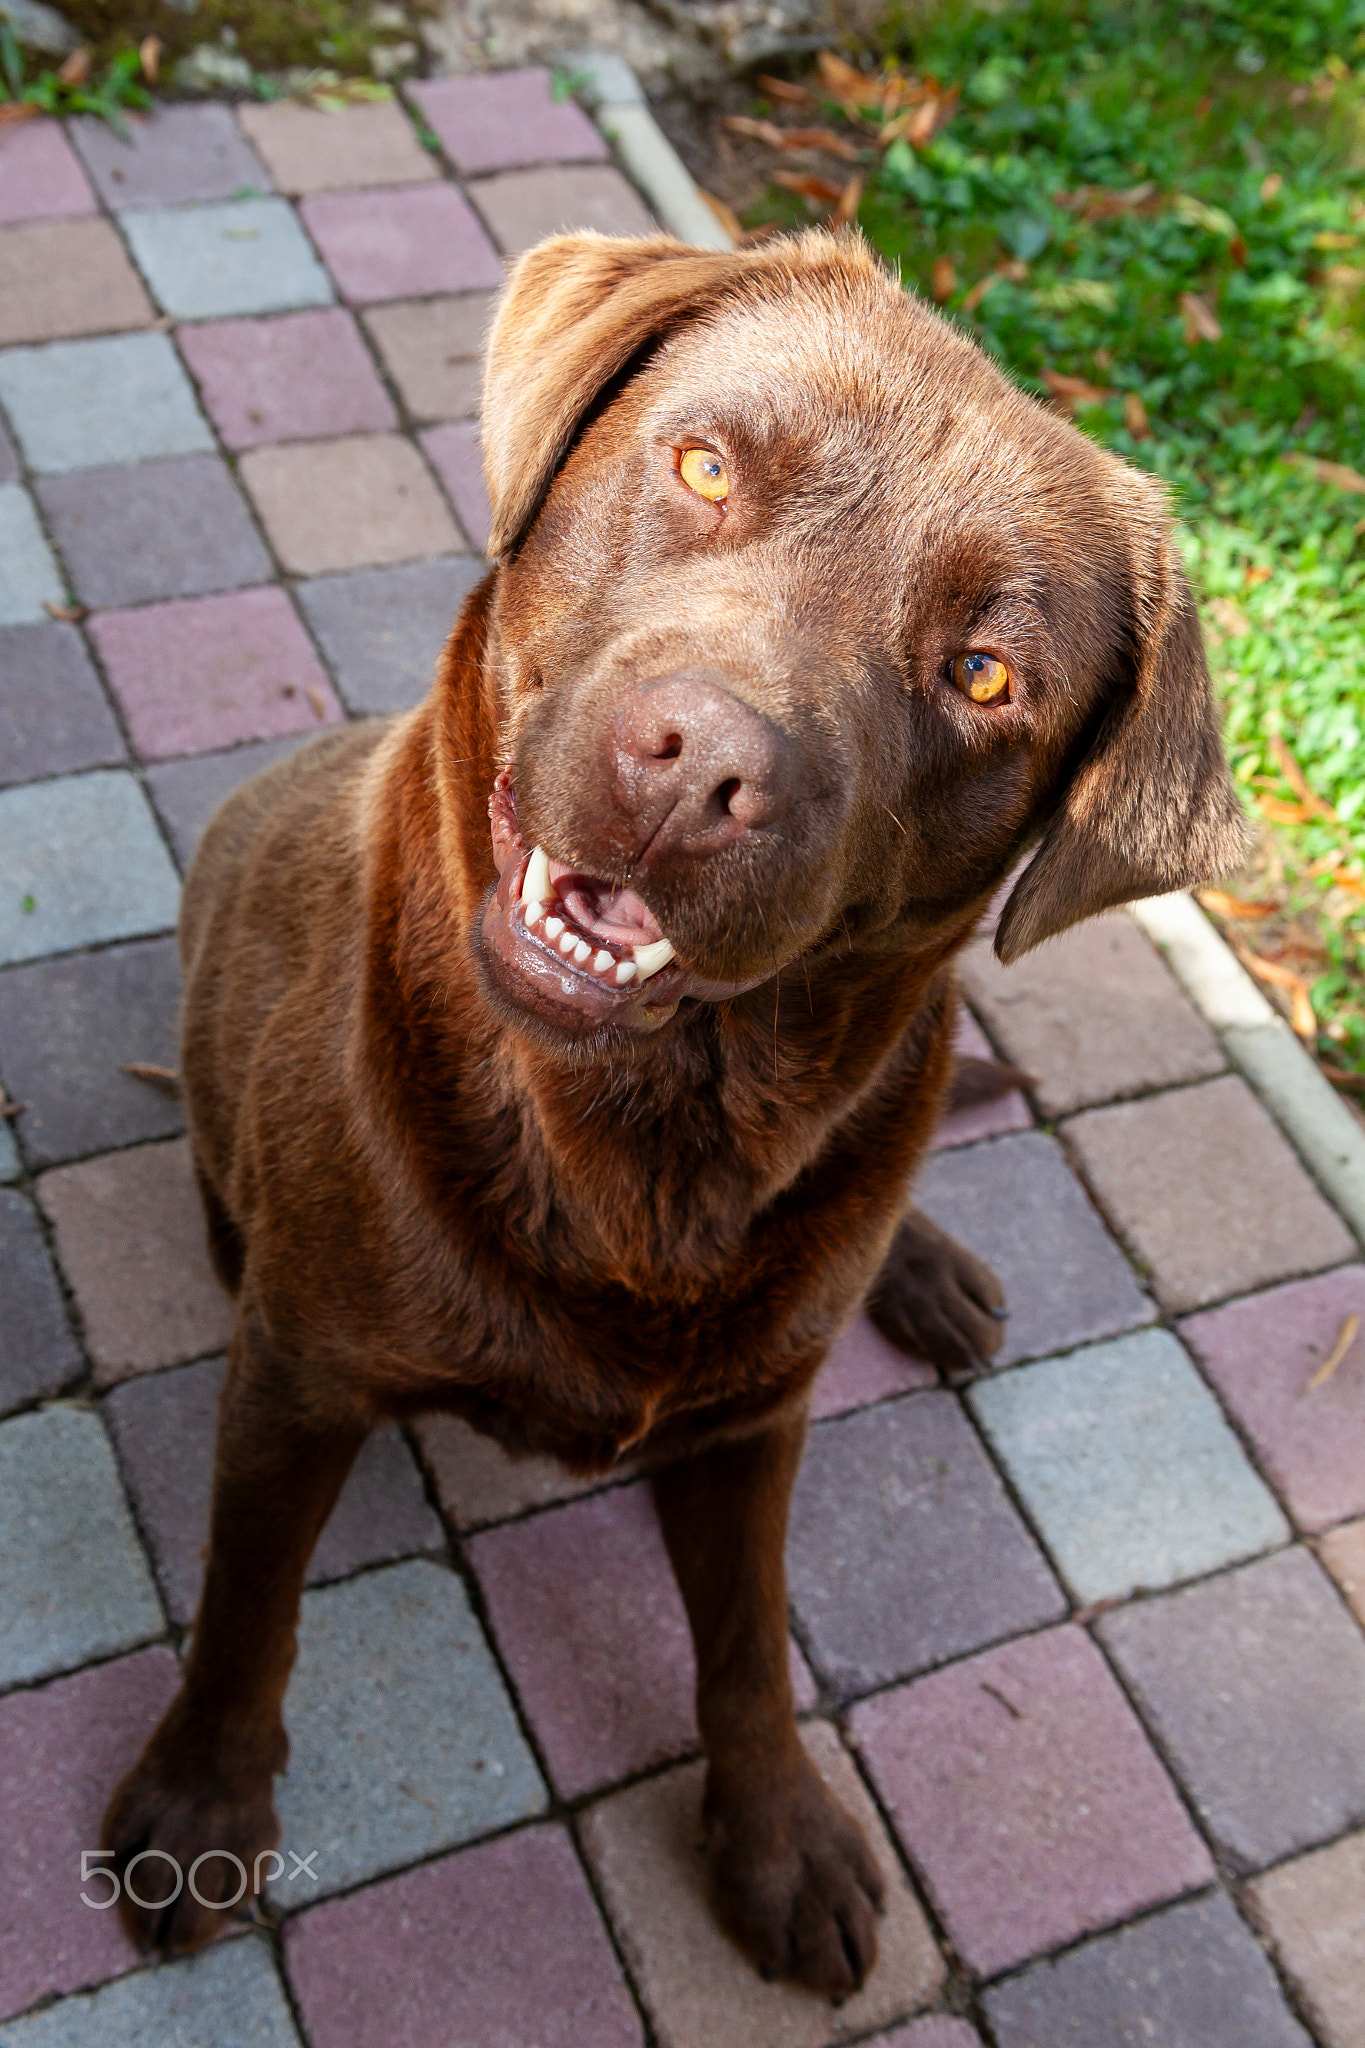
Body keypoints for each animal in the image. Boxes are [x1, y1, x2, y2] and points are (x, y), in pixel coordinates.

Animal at [104, 232, 1252, 1990]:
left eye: (983, 672)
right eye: (704, 465)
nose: (699, 765)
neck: (650, 1141)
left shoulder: (753, 1426)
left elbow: (747, 1642)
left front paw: (775, 1837)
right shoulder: (299, 1375)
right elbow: (249, 1605)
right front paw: (202, 1797)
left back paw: (917, 1264)